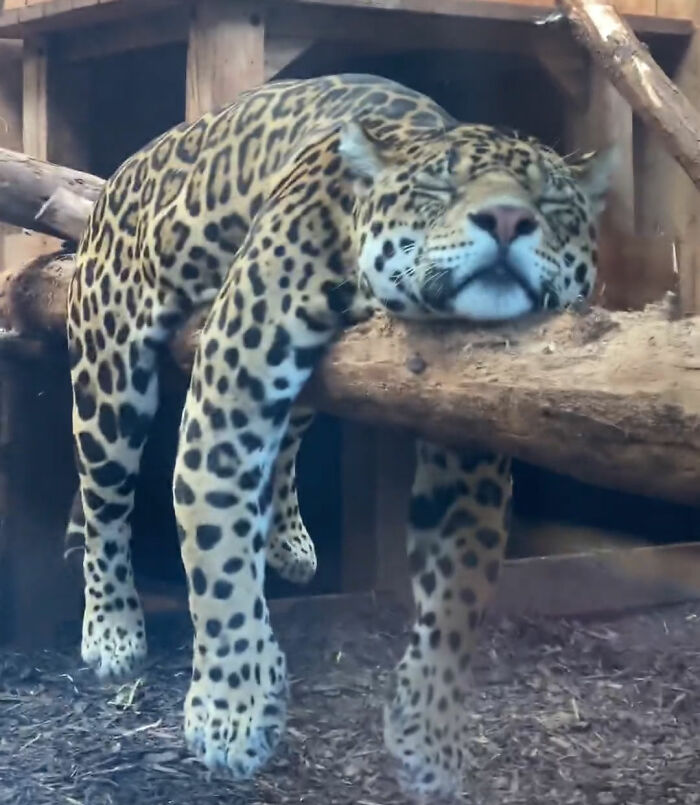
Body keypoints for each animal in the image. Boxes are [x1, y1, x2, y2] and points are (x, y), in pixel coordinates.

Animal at [66, 73, 614, 798]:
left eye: (551, 203)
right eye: (437, 190)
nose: (506, 221)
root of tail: (117, 179)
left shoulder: (468, 438)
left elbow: (458, 592)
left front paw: (428, 735)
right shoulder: (232, 385)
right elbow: (216, 544)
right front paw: (231, 711)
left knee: (289, 440)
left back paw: (287, 540)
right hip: (110, 377)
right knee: (104, 502)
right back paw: (113, 629)